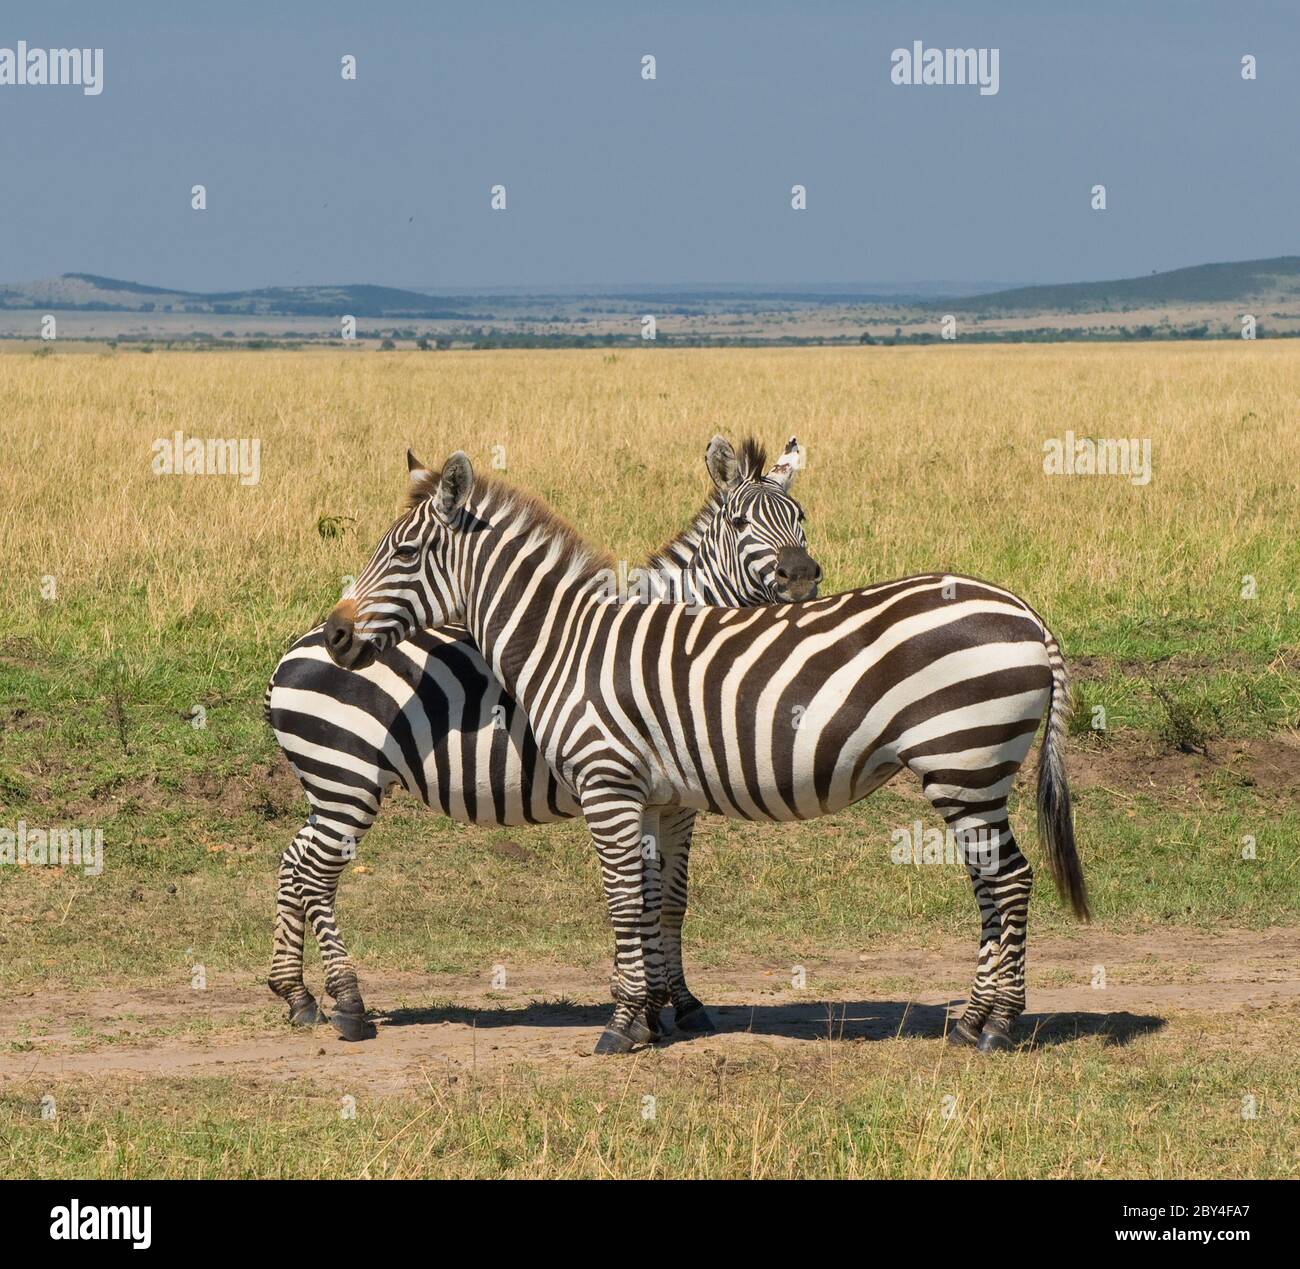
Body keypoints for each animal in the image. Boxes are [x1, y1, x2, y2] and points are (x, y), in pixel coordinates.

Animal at [263, 436, 816, 1040]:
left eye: (802, 518)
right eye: (740, 523)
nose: (801, 577)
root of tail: (292, 656)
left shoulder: (668, 799)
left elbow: (668, 899)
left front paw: (672, 1004)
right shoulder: (649, 789)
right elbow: (647, 898)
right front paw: (653, 1006)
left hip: (330, 787)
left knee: (293, 863)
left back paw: (296, 995)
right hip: (348, 781)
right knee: (315, 875)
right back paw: (348, 1003)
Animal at [319, 444, 1092, 1050]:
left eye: (403, 552)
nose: (335, 634)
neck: (566, 641)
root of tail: (1028, 614)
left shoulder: (609, 783)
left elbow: (625, 899)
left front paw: (623, 1026)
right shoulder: (657, 794)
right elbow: (654, 898)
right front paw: (654, 1014)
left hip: (964, 761)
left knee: (1009, 879)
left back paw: (996, 1027)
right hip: (970, 770)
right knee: (994, 882)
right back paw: (973, 1020)